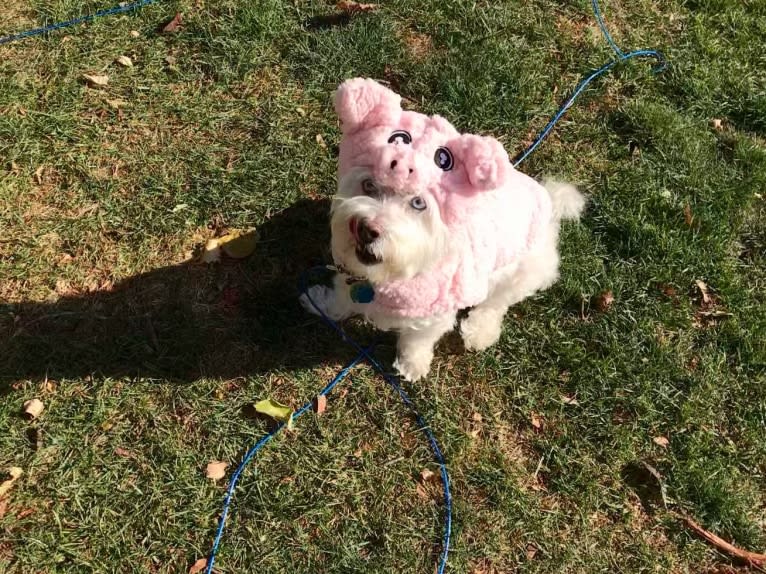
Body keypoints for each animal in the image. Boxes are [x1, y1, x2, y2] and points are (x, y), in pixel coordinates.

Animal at [302, 77, 588, 382]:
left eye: (418, 203)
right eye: (368, 185)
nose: (367, 230)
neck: (386, 277)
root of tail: (550, 205)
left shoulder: (433, 314)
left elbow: (417, 341)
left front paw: (412, 365)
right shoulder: (348, 272)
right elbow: (341, 298)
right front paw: (323, 303)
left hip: (523, 272)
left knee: (497, 303)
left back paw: (480, 331)